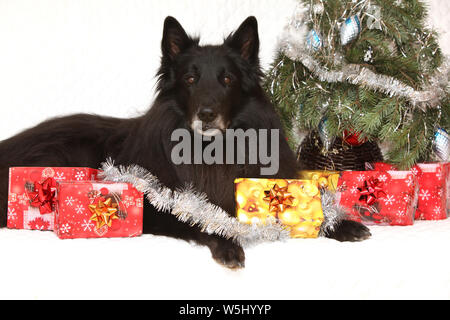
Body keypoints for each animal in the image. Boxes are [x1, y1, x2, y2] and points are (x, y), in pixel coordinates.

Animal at [0, 16, 370, 268]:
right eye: (190, 79)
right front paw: (227, 242)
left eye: (227, 79)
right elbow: (205, 216)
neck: (212, 149)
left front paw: (342, 223)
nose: (206, 115)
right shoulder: (161, 204)